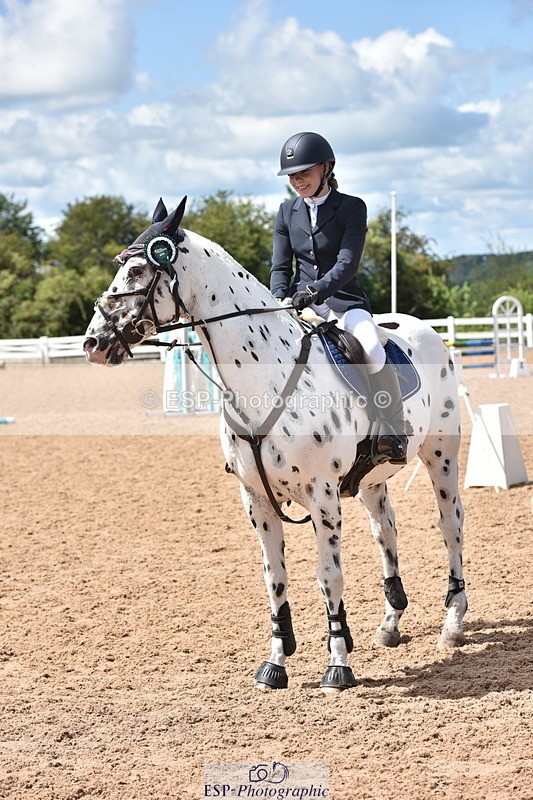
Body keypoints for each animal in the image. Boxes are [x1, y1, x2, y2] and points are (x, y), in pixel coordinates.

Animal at [83, 196, 468, 693]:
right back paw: (389, 624)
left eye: (136, 271)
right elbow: (275, 580)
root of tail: (424, 329)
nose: (93, 342)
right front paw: (276, 662)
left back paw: (452, 623)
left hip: (441, 457)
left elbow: (329, 577)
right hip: (370, 480)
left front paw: (338, 664)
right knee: (386, 532)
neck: (263, 377)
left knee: (450, 526)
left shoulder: (322, 494)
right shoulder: (257, 499)